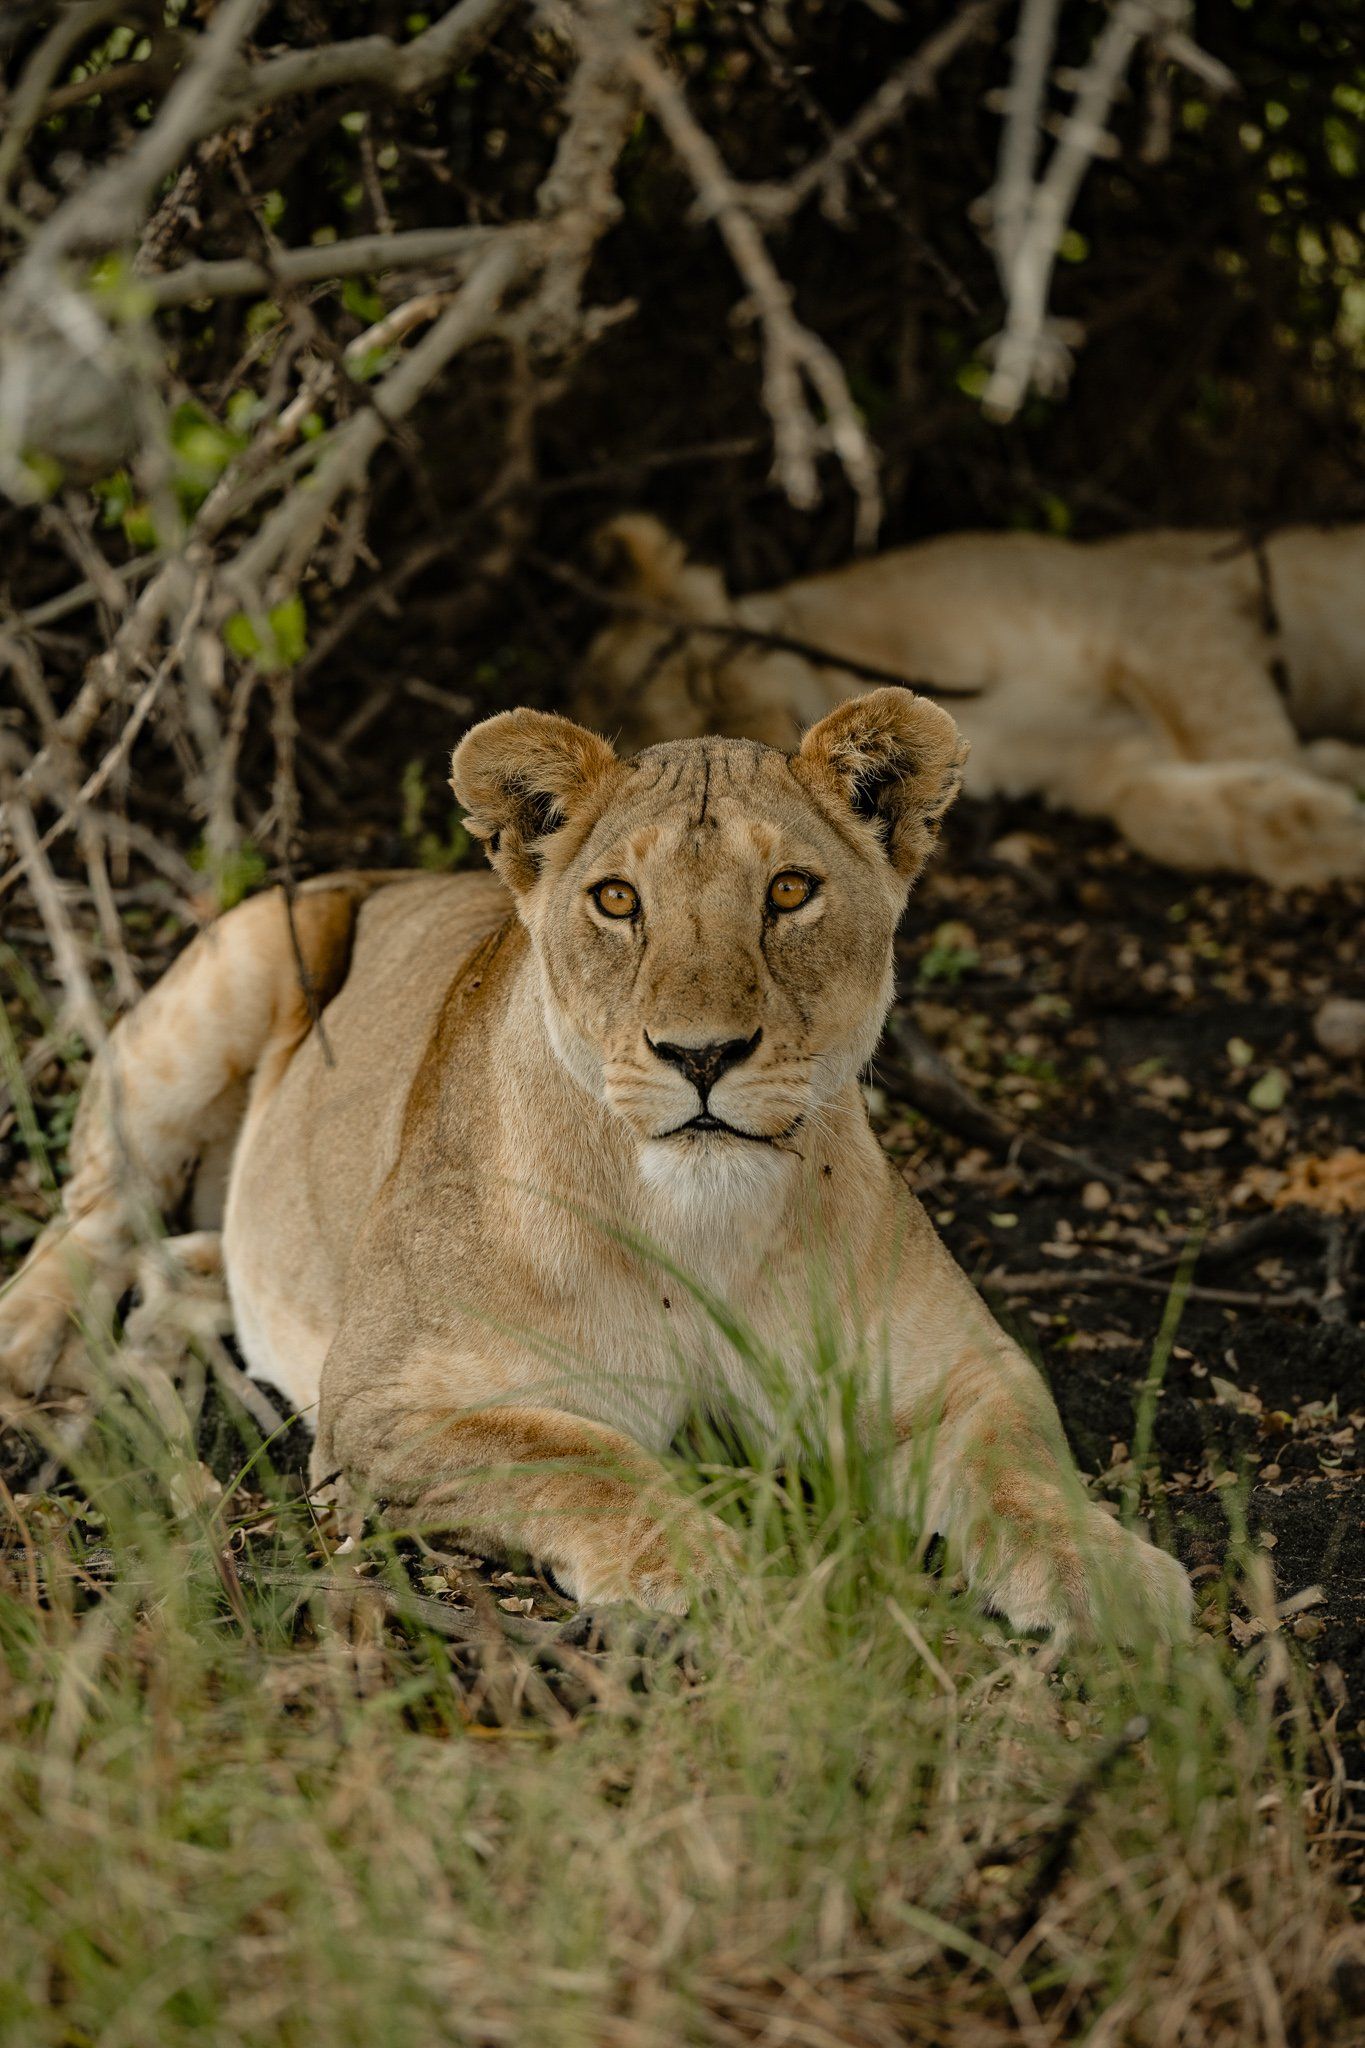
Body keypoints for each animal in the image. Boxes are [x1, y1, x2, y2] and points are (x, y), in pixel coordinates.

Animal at [0, 690, 1190, 1640]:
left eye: (789, 891)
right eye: (619, 899)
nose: (701, 1055)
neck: (702, 1224)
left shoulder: (957, 1376)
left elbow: (1020, 1469)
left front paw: (1108, 1575)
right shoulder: (380, 1405)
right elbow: (586, 1459)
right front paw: (716, 1570)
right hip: (238, 966)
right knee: (93, 1210)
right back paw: (33, 1357)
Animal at [574, 514, 1365, 889]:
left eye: (708, 680)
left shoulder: (1164, 604)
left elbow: (1238, 734)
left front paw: (1332, 790)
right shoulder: (1093, 754)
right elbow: (1153, 805)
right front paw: (1321, 815)